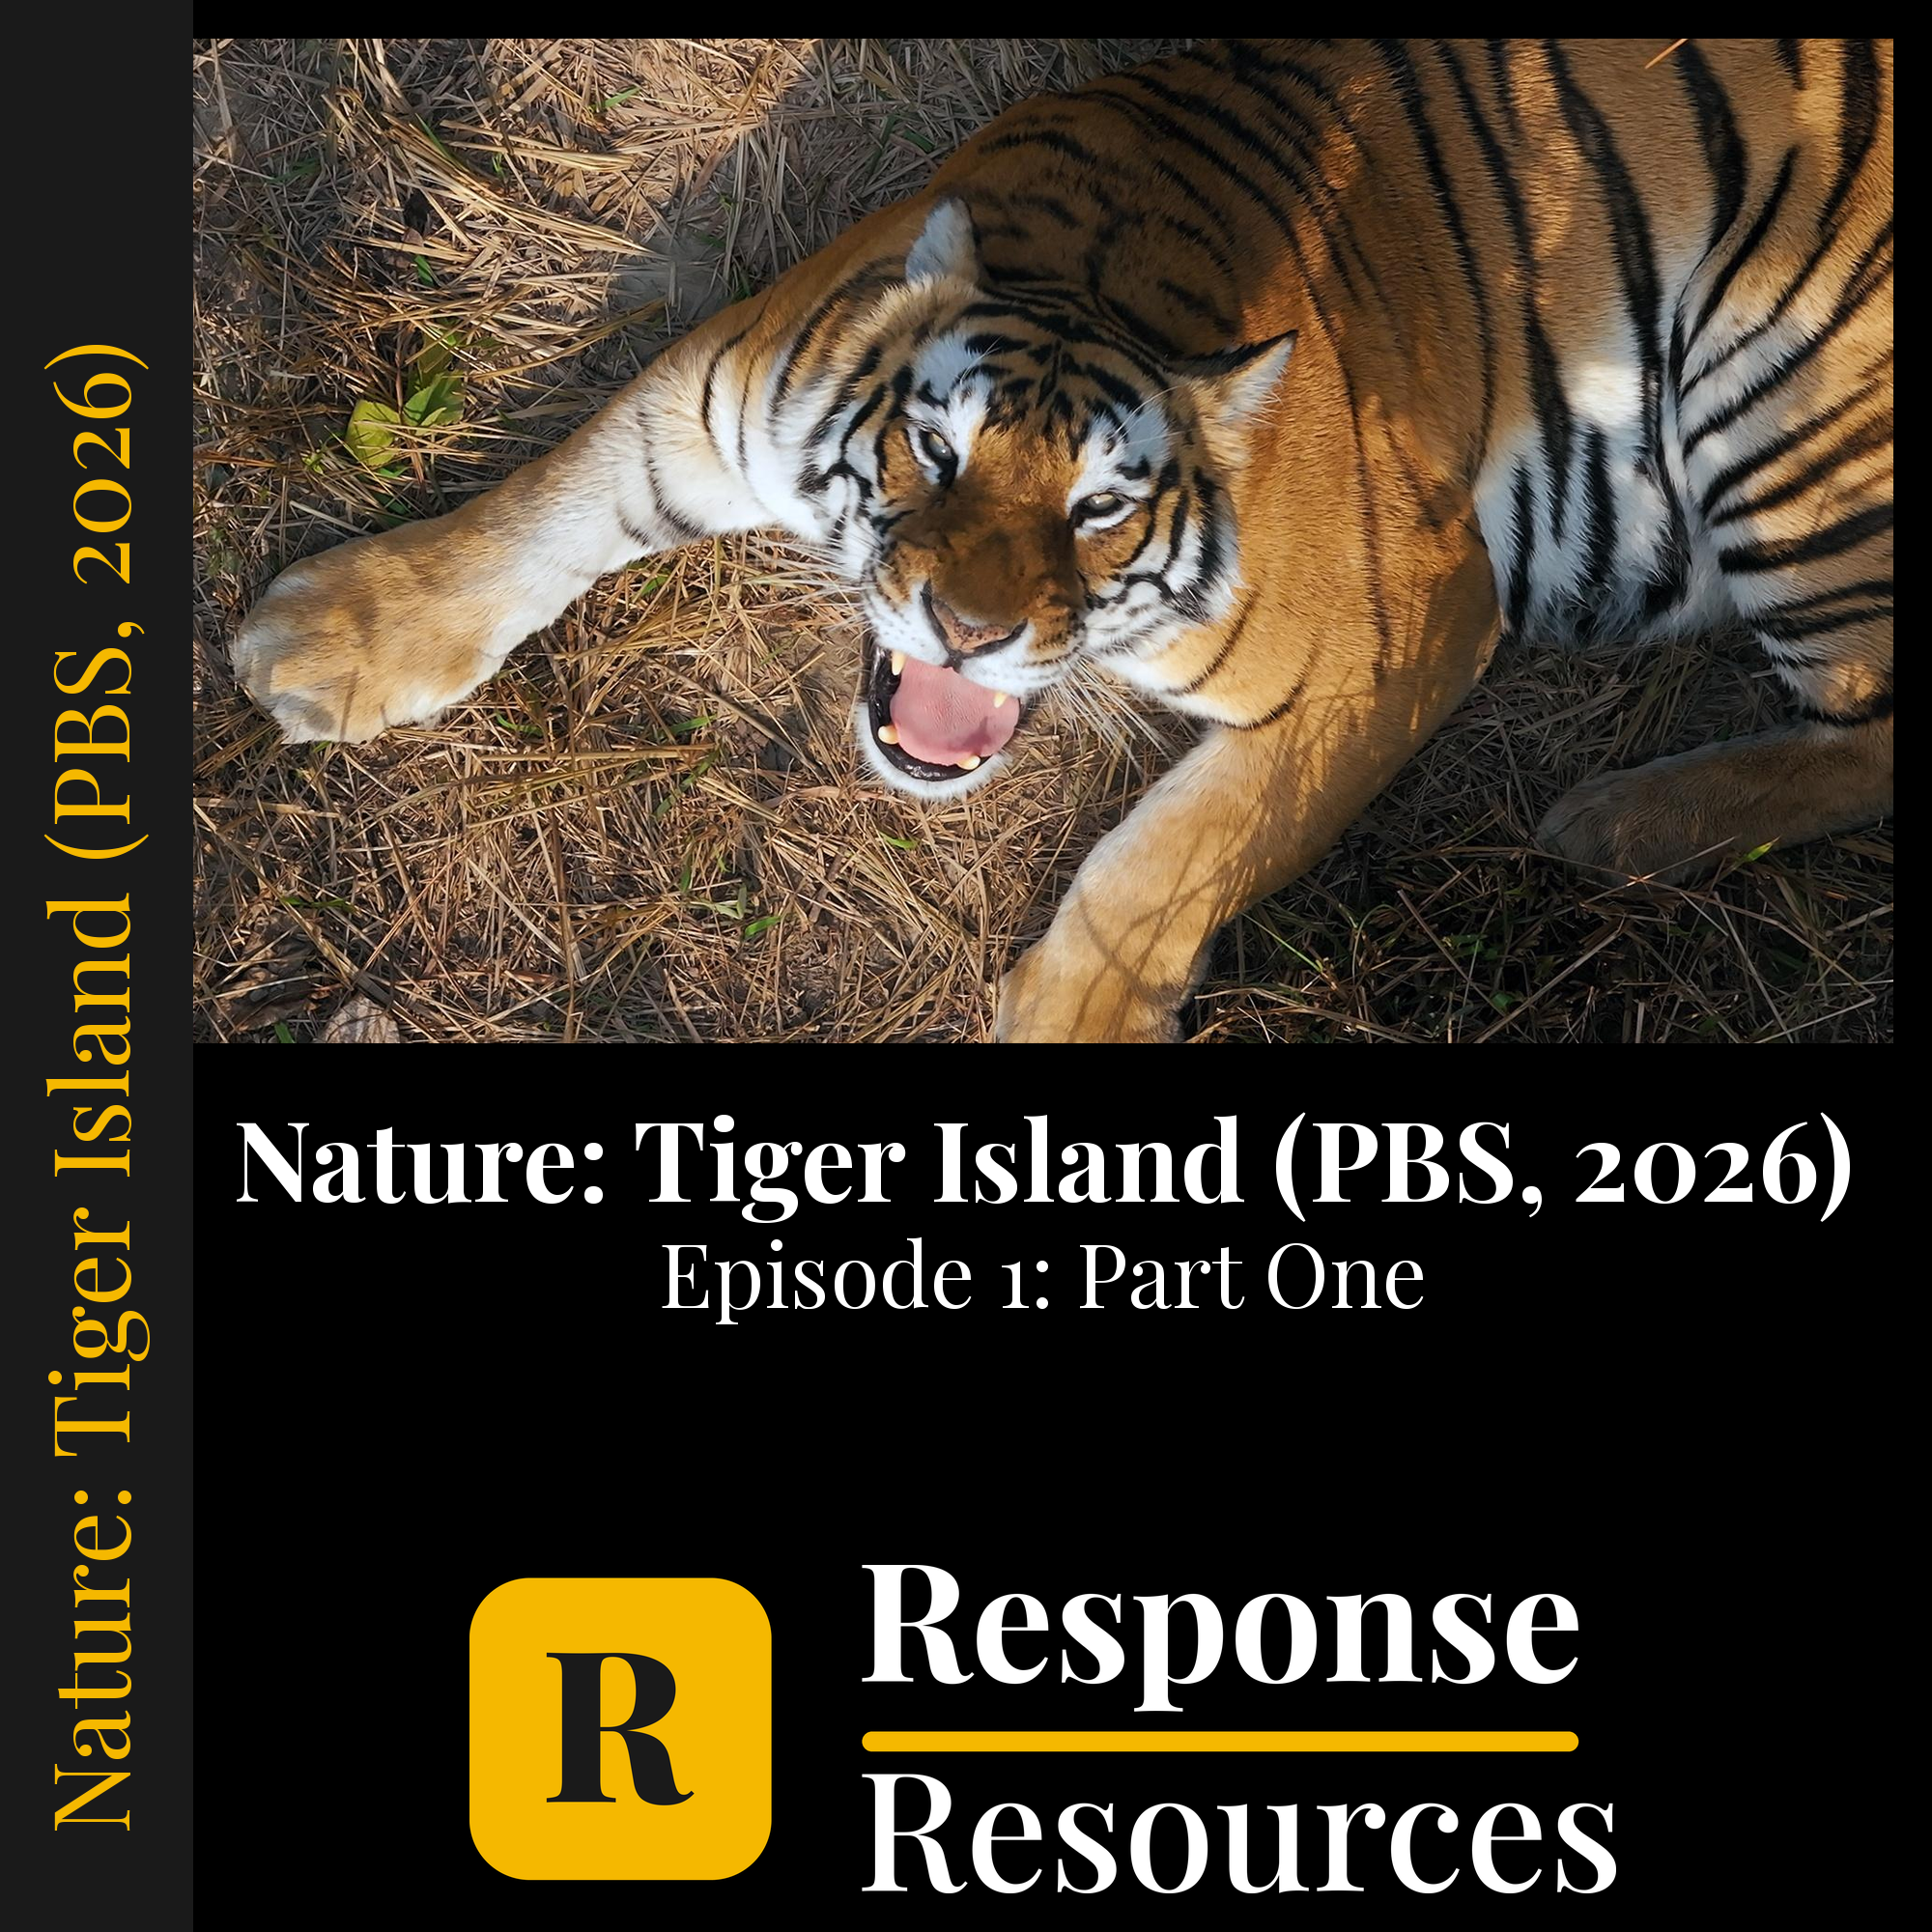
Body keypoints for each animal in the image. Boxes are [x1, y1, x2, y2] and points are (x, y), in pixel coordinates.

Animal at [230, 38, 1894, 1042]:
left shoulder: (1401, 634)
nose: (965, 633)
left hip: (1786, 407)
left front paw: (1070, 1017)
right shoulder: (711, 395)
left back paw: (1617, 826)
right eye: (937, 451)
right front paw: (324, 638)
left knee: (1874, 727)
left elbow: (1172, 850)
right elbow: (543, 505)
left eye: (1101, 509)